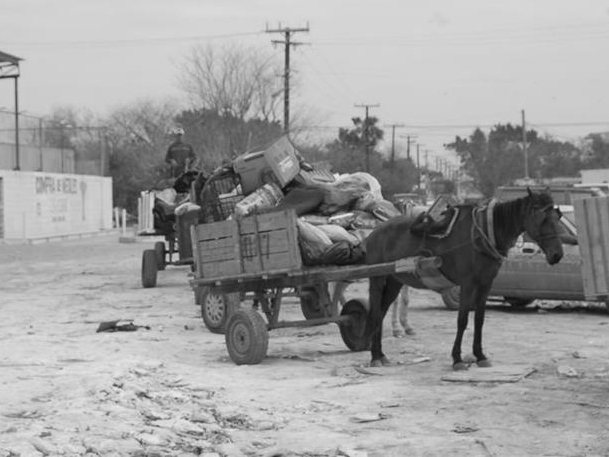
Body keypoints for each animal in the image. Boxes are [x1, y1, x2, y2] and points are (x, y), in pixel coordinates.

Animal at [360, 189, 564, 370]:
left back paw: (380, 354)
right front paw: (457, 359)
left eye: (557, 217)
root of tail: (374, 232)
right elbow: (463, 320)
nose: (557, 255)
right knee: (376, 311)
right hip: (377, 278)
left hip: (395, 280)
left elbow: (479, 319)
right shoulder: (467, 284)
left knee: (382, 310)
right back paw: (374, 356)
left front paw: (480, 356)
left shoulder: (485, 284)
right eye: (542, 218)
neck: (482, 234)